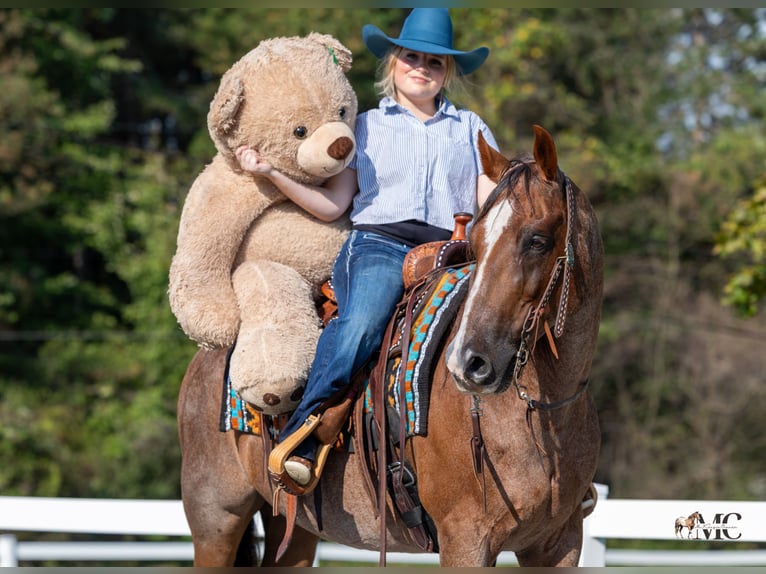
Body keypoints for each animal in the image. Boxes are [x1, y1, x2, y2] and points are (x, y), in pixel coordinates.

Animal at [177, 124, 604, 567]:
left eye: (538, 240)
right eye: (478, 243)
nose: (467, 363)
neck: (540, 414)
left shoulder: (559, 544)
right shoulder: (466, 540)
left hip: (294, 530)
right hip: (215, 518)